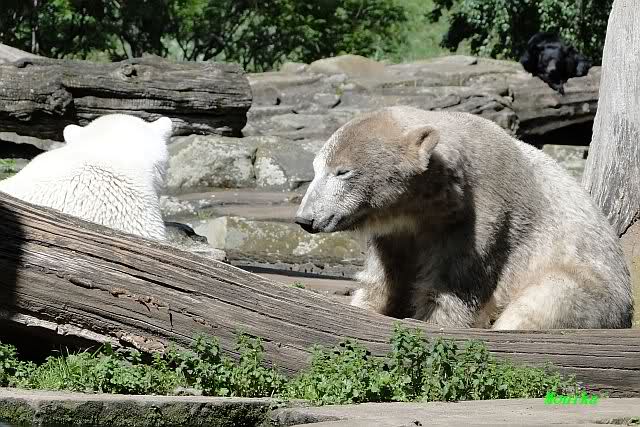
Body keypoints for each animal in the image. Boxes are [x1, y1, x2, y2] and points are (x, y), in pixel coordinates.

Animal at [294, 106, 633, 329]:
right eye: (315, 168)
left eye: (342, 171)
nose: (305, 218)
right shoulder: (397, 233)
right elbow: (384, 279)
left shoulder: (477, 218)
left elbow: (452, 287)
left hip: (592, 288)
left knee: (544, 301)